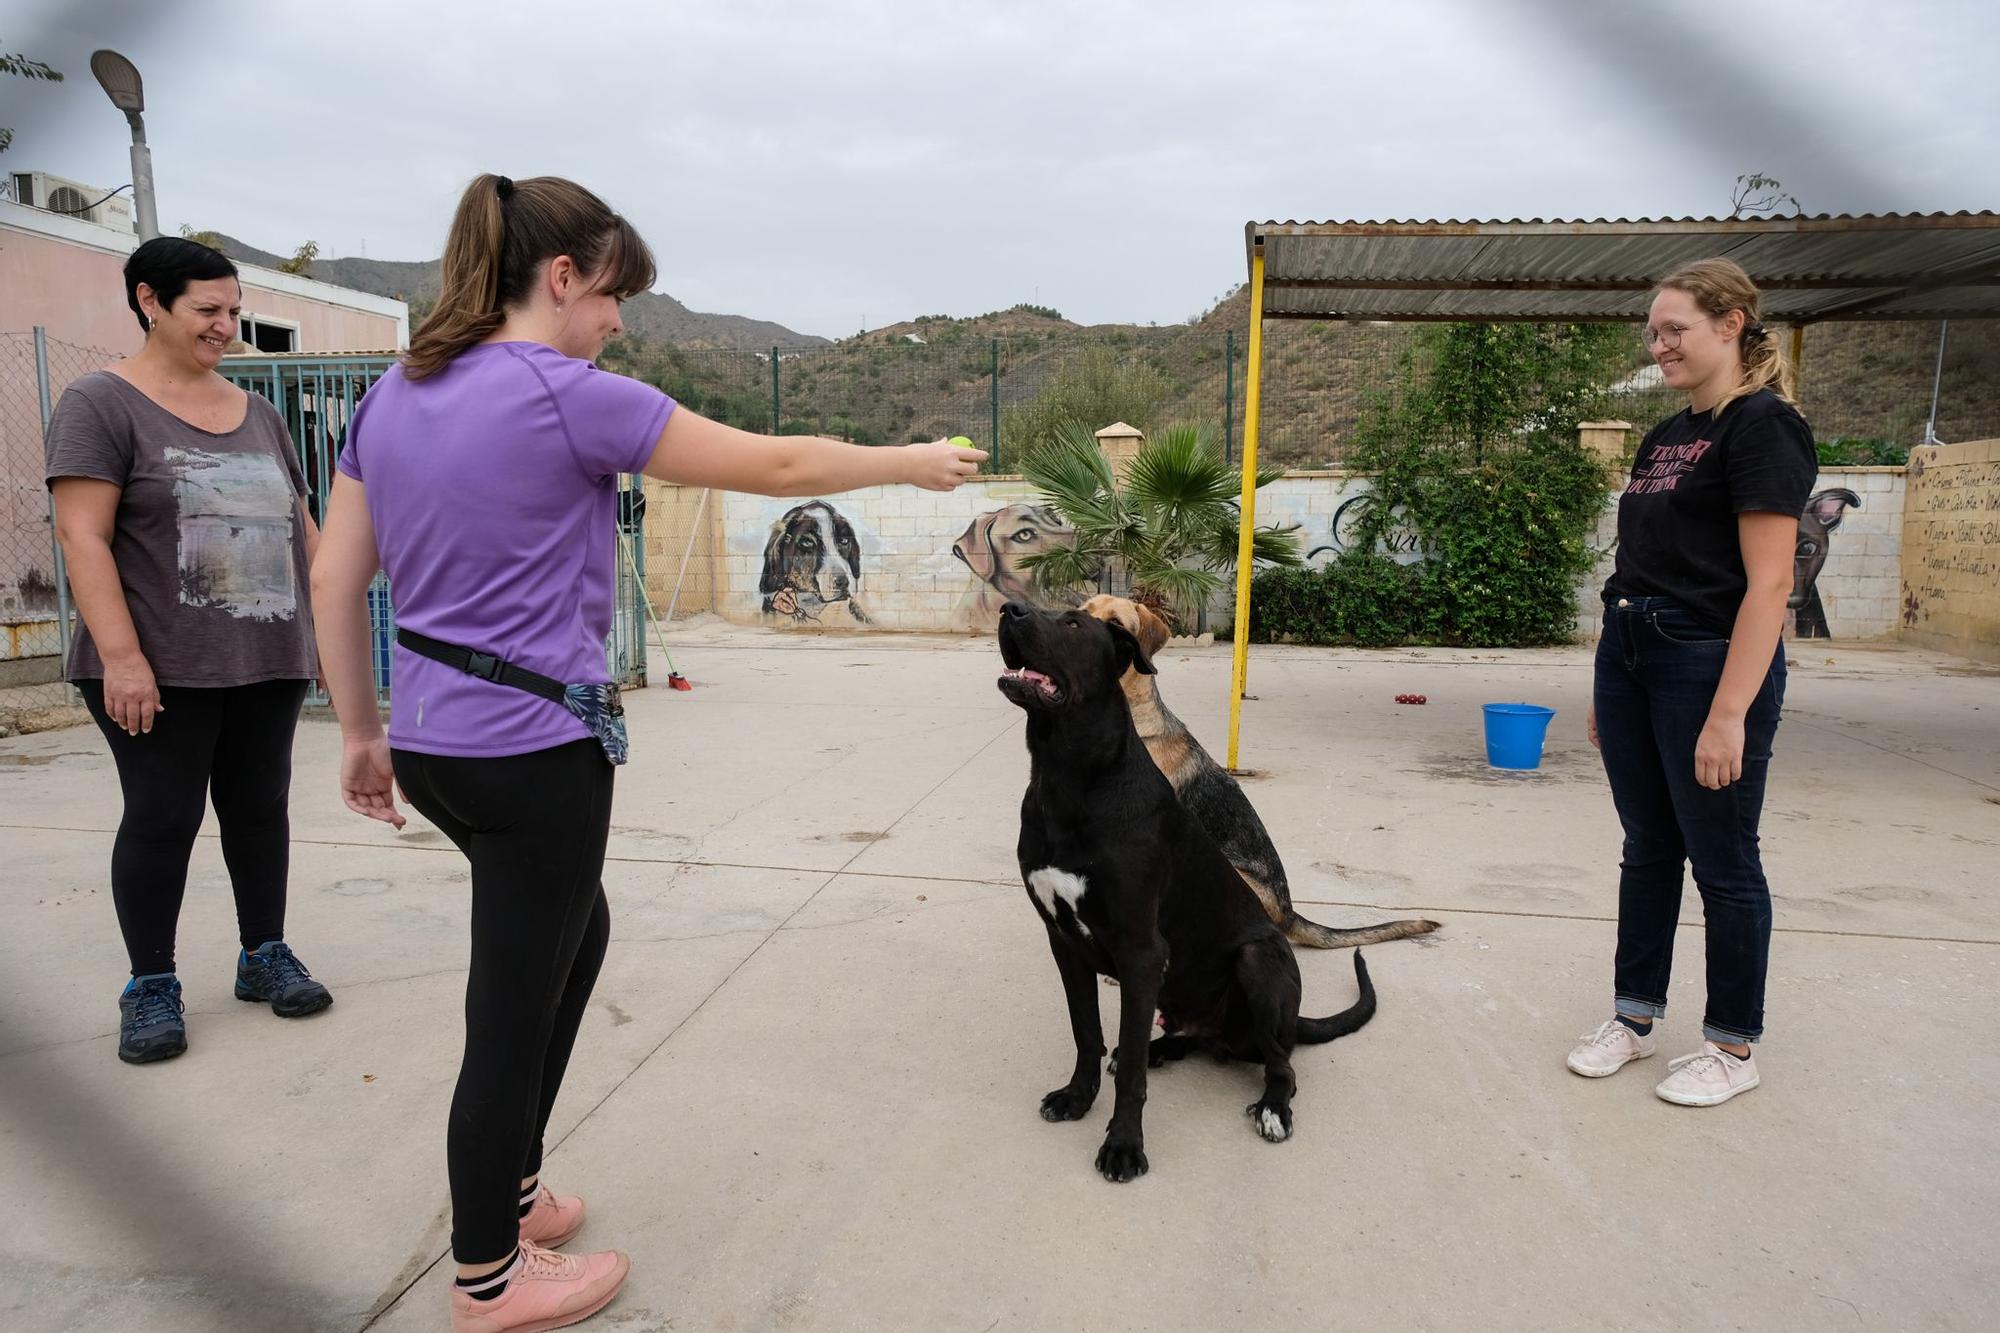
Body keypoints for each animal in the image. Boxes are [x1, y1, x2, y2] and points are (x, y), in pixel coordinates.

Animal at [1000, 596, 1376, 1176]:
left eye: (1073, 624)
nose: (1008, 608)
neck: (1068, 777)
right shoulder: (1064, 943)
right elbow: (1088, 1033)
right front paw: (1078, 1097)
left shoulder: (1140, 952)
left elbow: (1130, 1069)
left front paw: (1124, 1144)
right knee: (1184, 1041)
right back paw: (1164, 1048)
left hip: (1258, 962)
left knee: (1283, 1067)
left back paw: (1273, 1108)